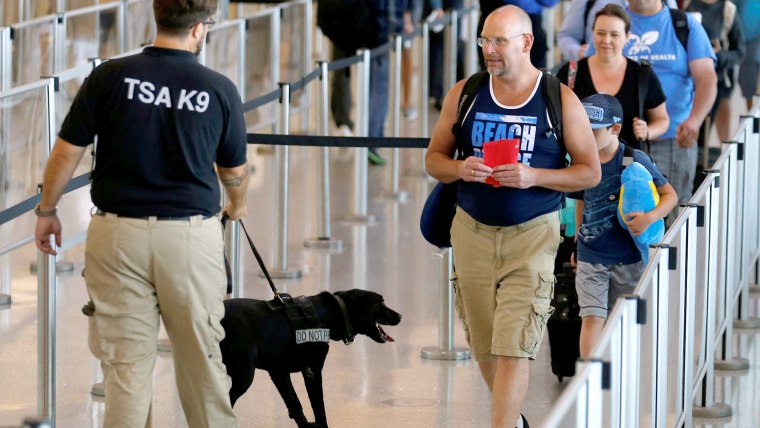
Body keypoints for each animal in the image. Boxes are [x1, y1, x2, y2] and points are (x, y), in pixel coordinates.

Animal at [220, 290, 400, 426]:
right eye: (381, 303)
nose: (400, 316)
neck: (331, 312)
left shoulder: (279, 372)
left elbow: (294, 403)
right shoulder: (312, 371)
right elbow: (318, 407)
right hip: (245, 376)